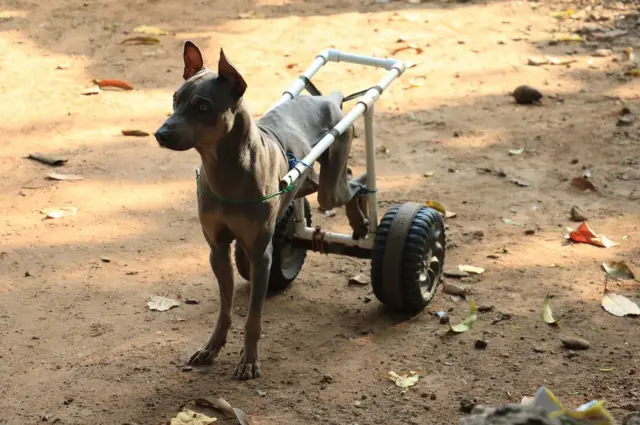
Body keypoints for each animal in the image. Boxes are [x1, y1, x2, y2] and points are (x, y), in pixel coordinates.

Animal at [154, 41, 368, 379]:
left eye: (202, 106)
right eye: (175, 99)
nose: (160, 134)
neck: (225, 170)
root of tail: (327, 99)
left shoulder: (260, 254)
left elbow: (253, 316)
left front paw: (249, 360)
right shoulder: (217, 249)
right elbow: (225, 308)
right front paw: (212, 347)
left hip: (330, 185)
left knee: (353, 184)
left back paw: (360, 218)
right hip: (307, 180)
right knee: (336, 181)